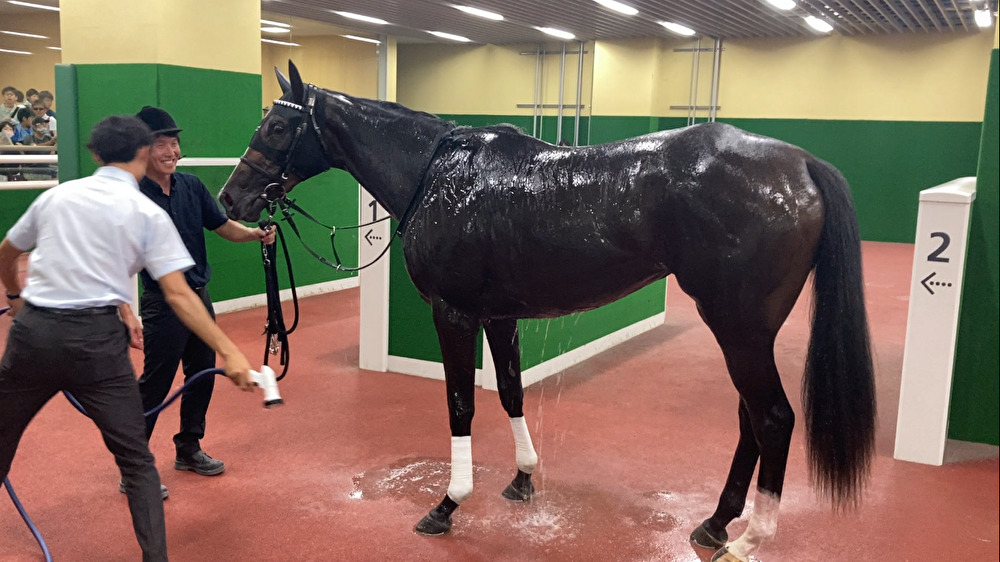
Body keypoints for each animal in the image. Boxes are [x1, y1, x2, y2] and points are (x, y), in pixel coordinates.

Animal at [219, 61, 876, 562]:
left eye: (277, 125)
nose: (231, 200)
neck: (438, 175)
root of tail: (800, 165)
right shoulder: (499, 317)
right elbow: (511, 392)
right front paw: (522, 479)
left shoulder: (454, 315)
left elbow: (459, 404)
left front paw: (448, 504)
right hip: (746, 331)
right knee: (749, 420)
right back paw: (715, 523)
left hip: (738, 328)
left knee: (773, 419)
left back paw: (747, 540)